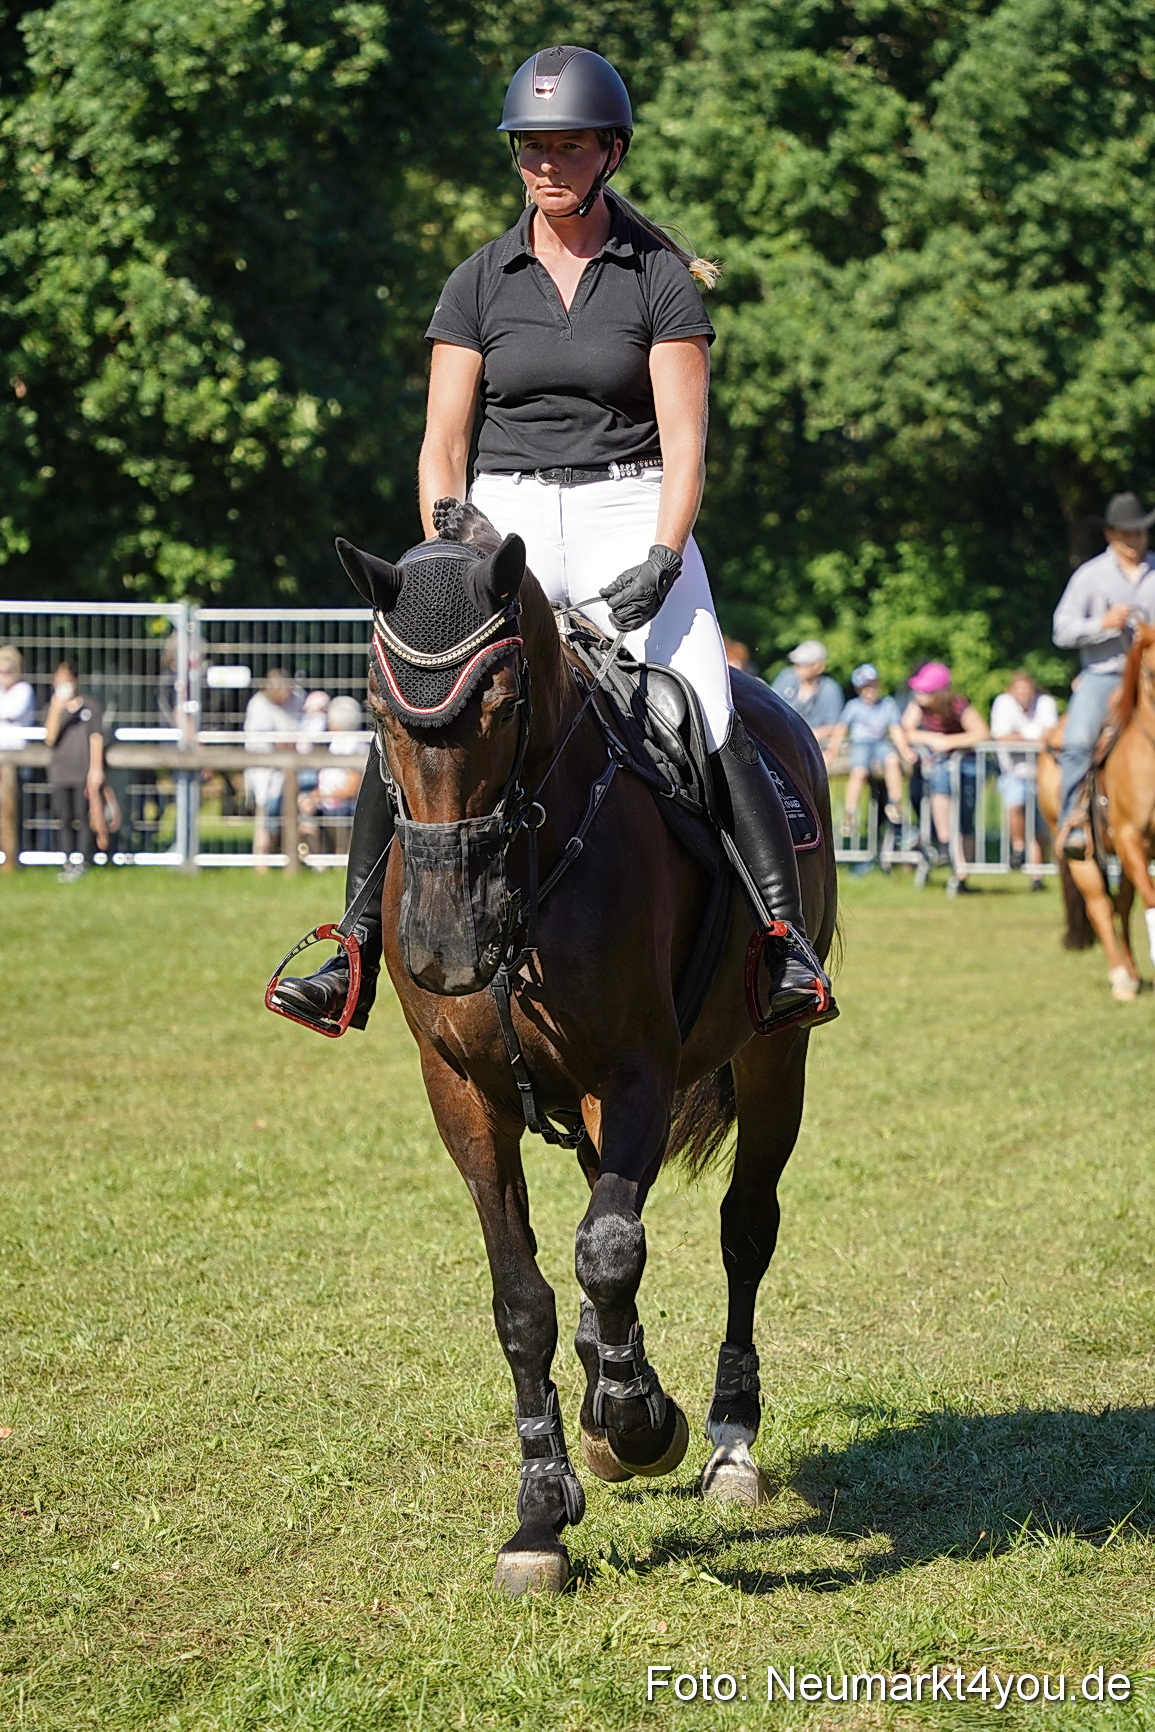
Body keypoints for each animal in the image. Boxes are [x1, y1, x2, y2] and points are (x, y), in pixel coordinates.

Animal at [340, 508, 838, 1595]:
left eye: (499, 701)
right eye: (377, 708)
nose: (442, 945)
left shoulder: (635, 1076)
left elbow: (610, 1249)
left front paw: (640, 1419)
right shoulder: (464, 1094)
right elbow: (523, 1292)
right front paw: (541, 1506)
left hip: (774, 1060)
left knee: (742, 1229)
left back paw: (726, 1436)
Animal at [1039, 626, 1155, 1001]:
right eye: (1150, 672)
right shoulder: (1130, 838)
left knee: (1121, 905)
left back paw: (1132, 972)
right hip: (1081, 853)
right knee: (1100, 906)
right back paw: (1121, 977)